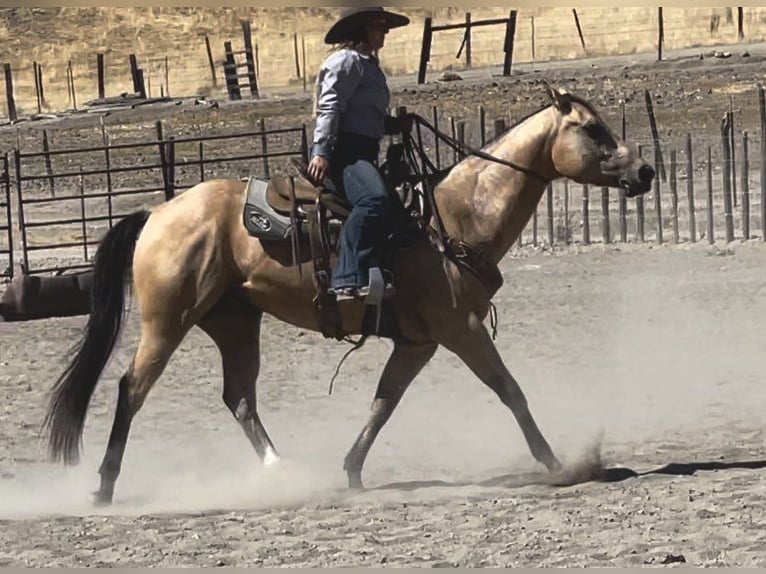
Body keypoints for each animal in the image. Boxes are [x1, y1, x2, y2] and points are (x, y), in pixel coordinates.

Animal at [40, 83, 656, 506]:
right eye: (593, 130)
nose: (646, 171)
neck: (454, 219)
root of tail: (156, 212)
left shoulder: (418, 343)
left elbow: (384, 403)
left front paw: (352, 469)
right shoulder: (462, 331)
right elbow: (510, 391)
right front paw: (558, 464)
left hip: (234, 321)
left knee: (239, 397)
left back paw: (283, 472)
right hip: (168, 321)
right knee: (132, 389)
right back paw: (104, 487)